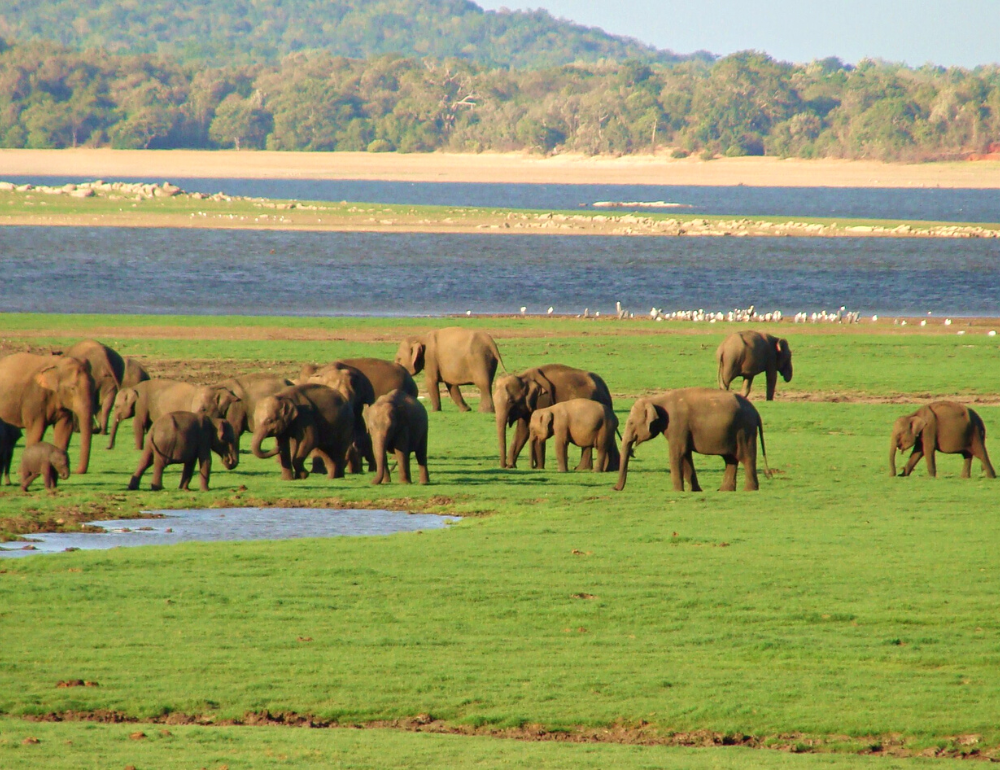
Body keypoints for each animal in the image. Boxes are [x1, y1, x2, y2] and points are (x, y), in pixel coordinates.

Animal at [612, 390, 768, 492]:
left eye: (631, 423)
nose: (614, 488)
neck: (657, 399)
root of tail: (756, 412)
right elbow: (686, 455)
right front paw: (695, 490)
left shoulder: (677, 424)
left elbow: (676, 454)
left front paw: (676, 491)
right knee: (730, 459)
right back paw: (724, 490)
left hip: (744, 431)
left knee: (746, 458)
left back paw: (749, 490)